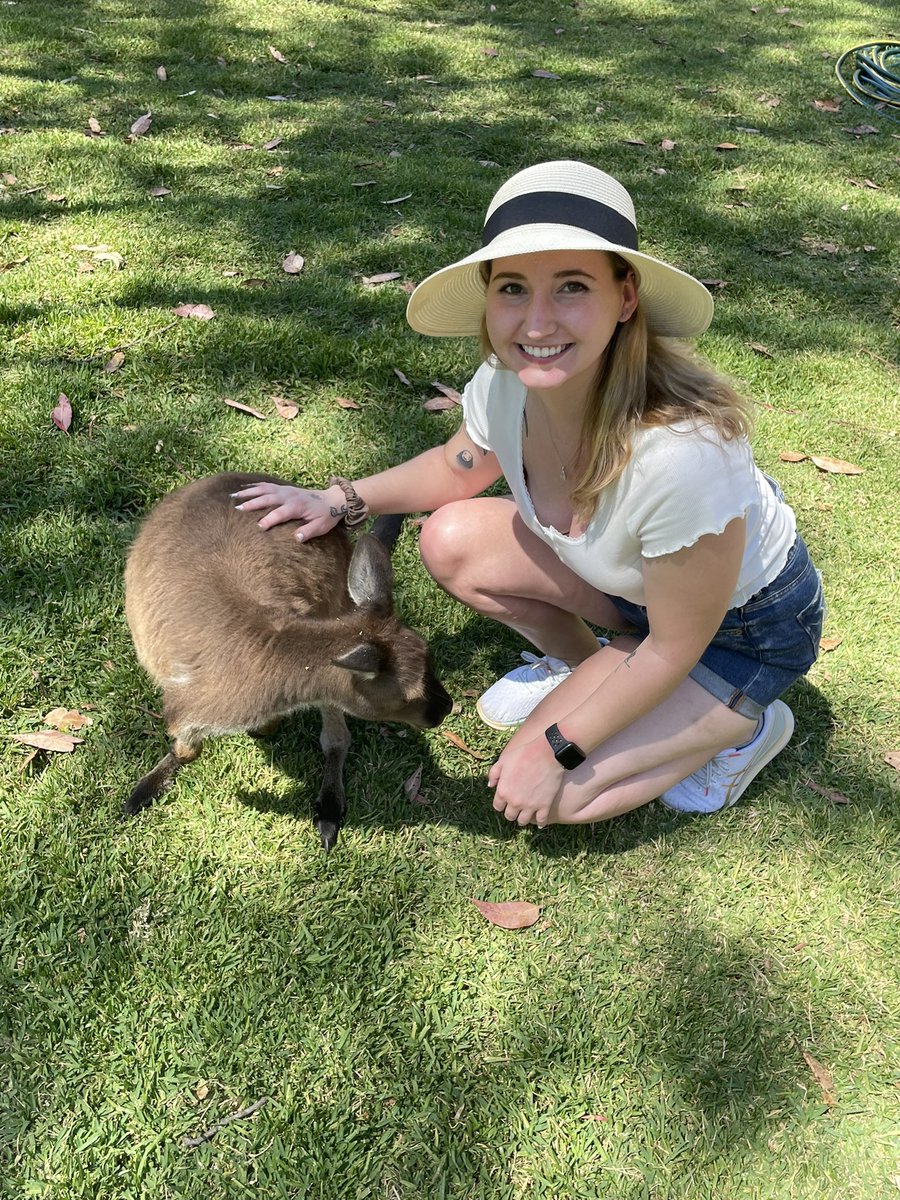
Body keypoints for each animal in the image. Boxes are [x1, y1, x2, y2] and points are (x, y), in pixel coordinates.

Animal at [122, 472, 452, 850]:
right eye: (407, 697)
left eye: (431, 659)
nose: (447, 708)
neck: (269, 643)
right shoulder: (192, 703)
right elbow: (187, 748)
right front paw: (153, 781)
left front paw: (265, 730)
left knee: (336, 738)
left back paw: (328, 809)